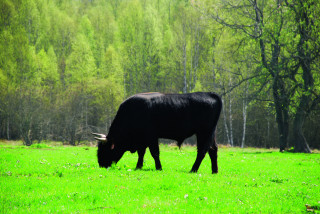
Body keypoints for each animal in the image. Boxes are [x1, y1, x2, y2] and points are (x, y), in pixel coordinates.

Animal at [92, 92, 222, 174]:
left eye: (105, 150)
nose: (101, 165)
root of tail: (211, 94)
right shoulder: (142, 140)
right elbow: (141, 153)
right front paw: (138, 166)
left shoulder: (151, 137)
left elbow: (154, 153)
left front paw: (159, 168)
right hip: (210, 134)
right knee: (213, 150)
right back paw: (214, 171)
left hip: (204, 133)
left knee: (202, 151)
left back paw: (193, 170)